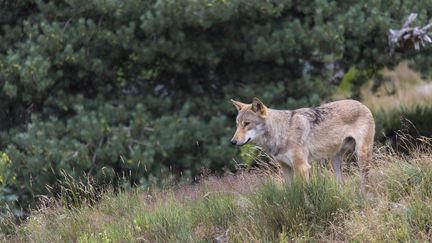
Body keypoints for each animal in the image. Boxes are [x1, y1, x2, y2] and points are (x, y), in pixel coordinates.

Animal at [230, 98, 374, 187]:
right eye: (237, 124)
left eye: (247, 123)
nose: (233, 142)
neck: (281, 132)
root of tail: (362, 104)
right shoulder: (286, 168)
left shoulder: (302, 167)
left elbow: (304, 193)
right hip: (335, 161)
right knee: (342, 183)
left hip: (361, 156)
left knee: (366, 182)